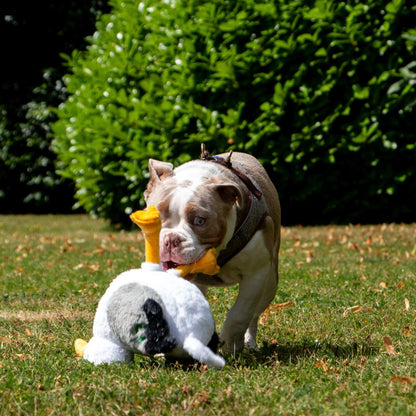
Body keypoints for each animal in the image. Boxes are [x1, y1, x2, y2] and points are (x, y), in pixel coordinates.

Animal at [143, 145, 280, 352]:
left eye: (199, 221)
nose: (171, 240)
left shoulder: (256, 274)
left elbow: (240, 314)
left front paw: (230, 345)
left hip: (270, 282)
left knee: (255, 315)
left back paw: (249, 342)